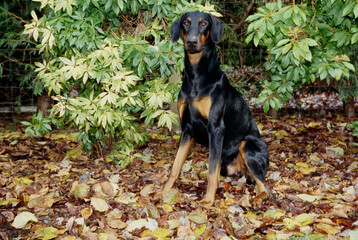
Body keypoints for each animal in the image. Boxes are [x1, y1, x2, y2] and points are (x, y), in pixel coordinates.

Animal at [162, 11, 268, 208]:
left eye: (204, 23)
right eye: (186, 23)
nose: (192, 42)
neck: (196, 76)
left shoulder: (216, 129)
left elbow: (212, 172)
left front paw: (208, 200)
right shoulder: (187, 129)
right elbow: (175, 166)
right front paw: (163, 192)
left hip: (247, 145)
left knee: (265, 186)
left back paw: (258, 198)